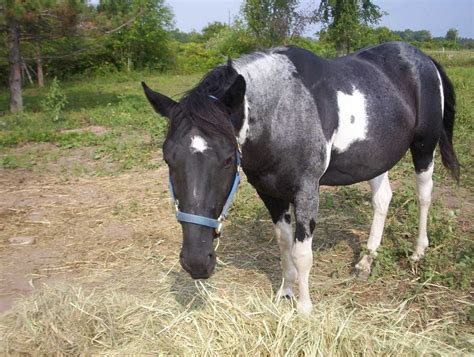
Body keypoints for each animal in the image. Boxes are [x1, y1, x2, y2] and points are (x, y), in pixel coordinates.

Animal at [141, 41, 460, 312]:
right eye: (167, 157)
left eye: (228, 158)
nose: (196, 262)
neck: (284, 110)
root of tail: (424, 58)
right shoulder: (270, 192)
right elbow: (284, 245)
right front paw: (285, 292)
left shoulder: (306, 191)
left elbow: (302, 253)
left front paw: (305, 309)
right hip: (376, 158)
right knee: (382, 200)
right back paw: (365, 262)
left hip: (424, 147)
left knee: (424, 195)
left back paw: (418, 252)